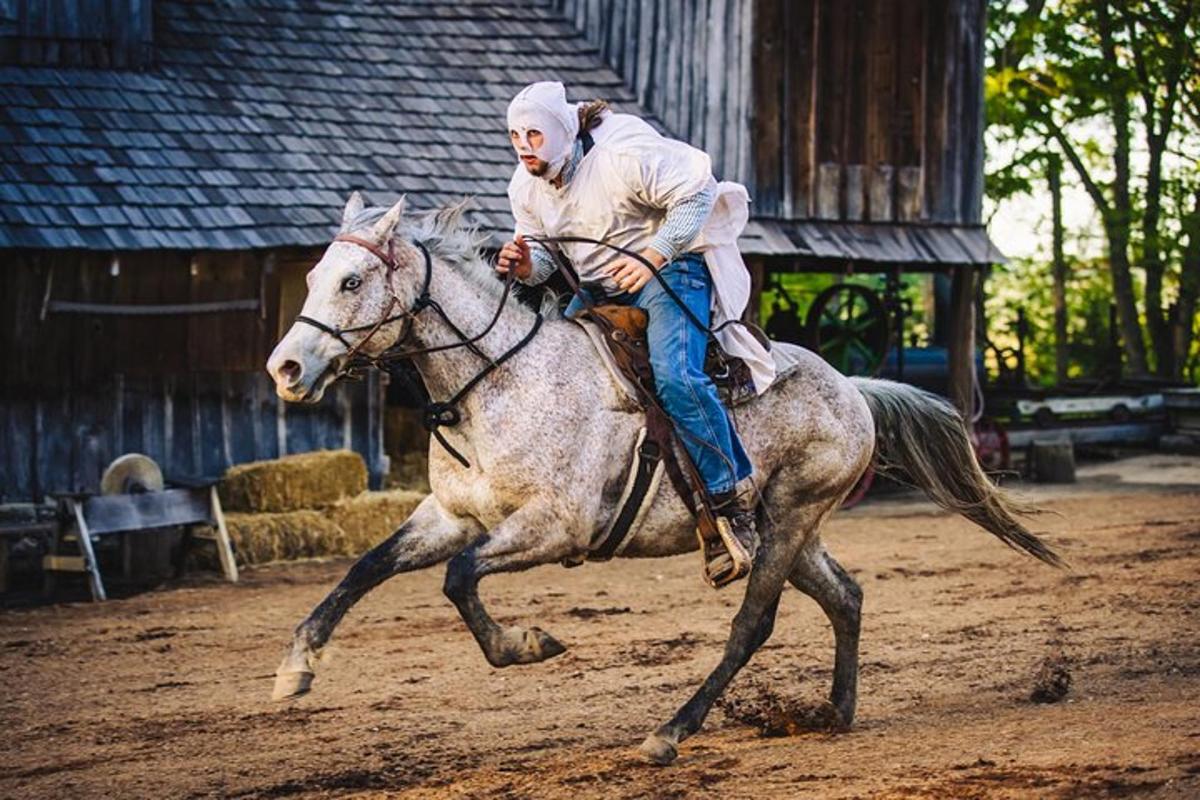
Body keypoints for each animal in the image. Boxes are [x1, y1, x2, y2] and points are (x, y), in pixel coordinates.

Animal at [262, 191, 1060, 762]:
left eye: (353, 280)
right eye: (313, 276)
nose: (286, 369)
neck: (501, 380)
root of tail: (854, 388)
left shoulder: (554, 527)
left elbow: (459, 580)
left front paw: (527, 644)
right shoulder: (451, 516)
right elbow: (366, 567)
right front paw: (294, 667)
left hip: (790, 521)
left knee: (753, 624)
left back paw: (672, 731)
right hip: (789, 529)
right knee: (847, 597)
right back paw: (834, 711)